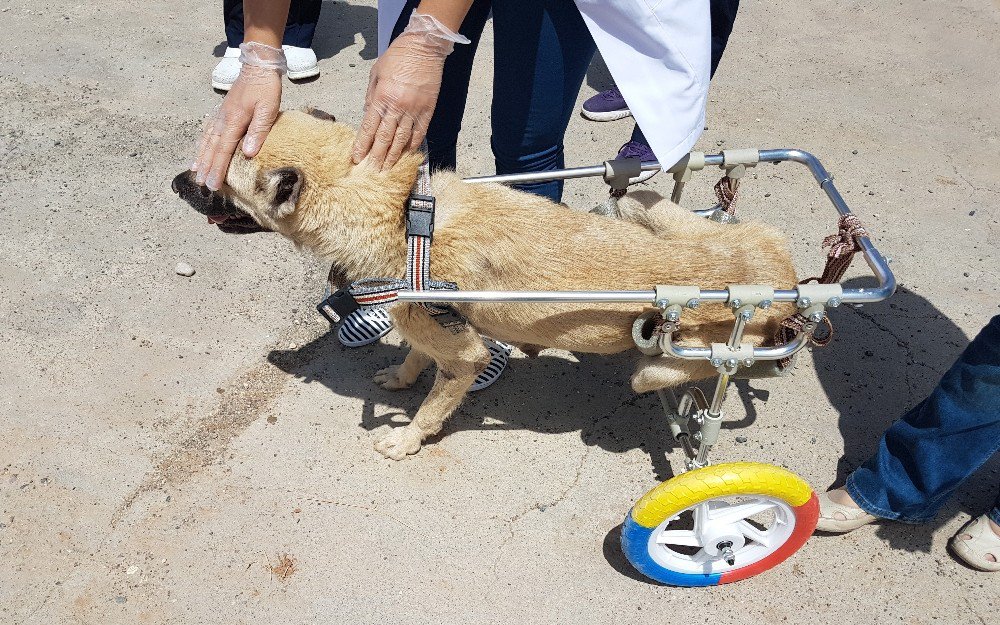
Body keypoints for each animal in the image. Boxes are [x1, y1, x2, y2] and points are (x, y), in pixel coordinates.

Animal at [172, 108, 796, 458]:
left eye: (216, 176)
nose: (177, 181)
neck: (401, 215)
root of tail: (787, 284)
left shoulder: (464, 355)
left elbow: (433, 405)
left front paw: (407, 440)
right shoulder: (429, 328)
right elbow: (415, 357)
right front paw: (401, 377)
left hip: (692, 348)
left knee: (684, 371)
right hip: (646, 206)